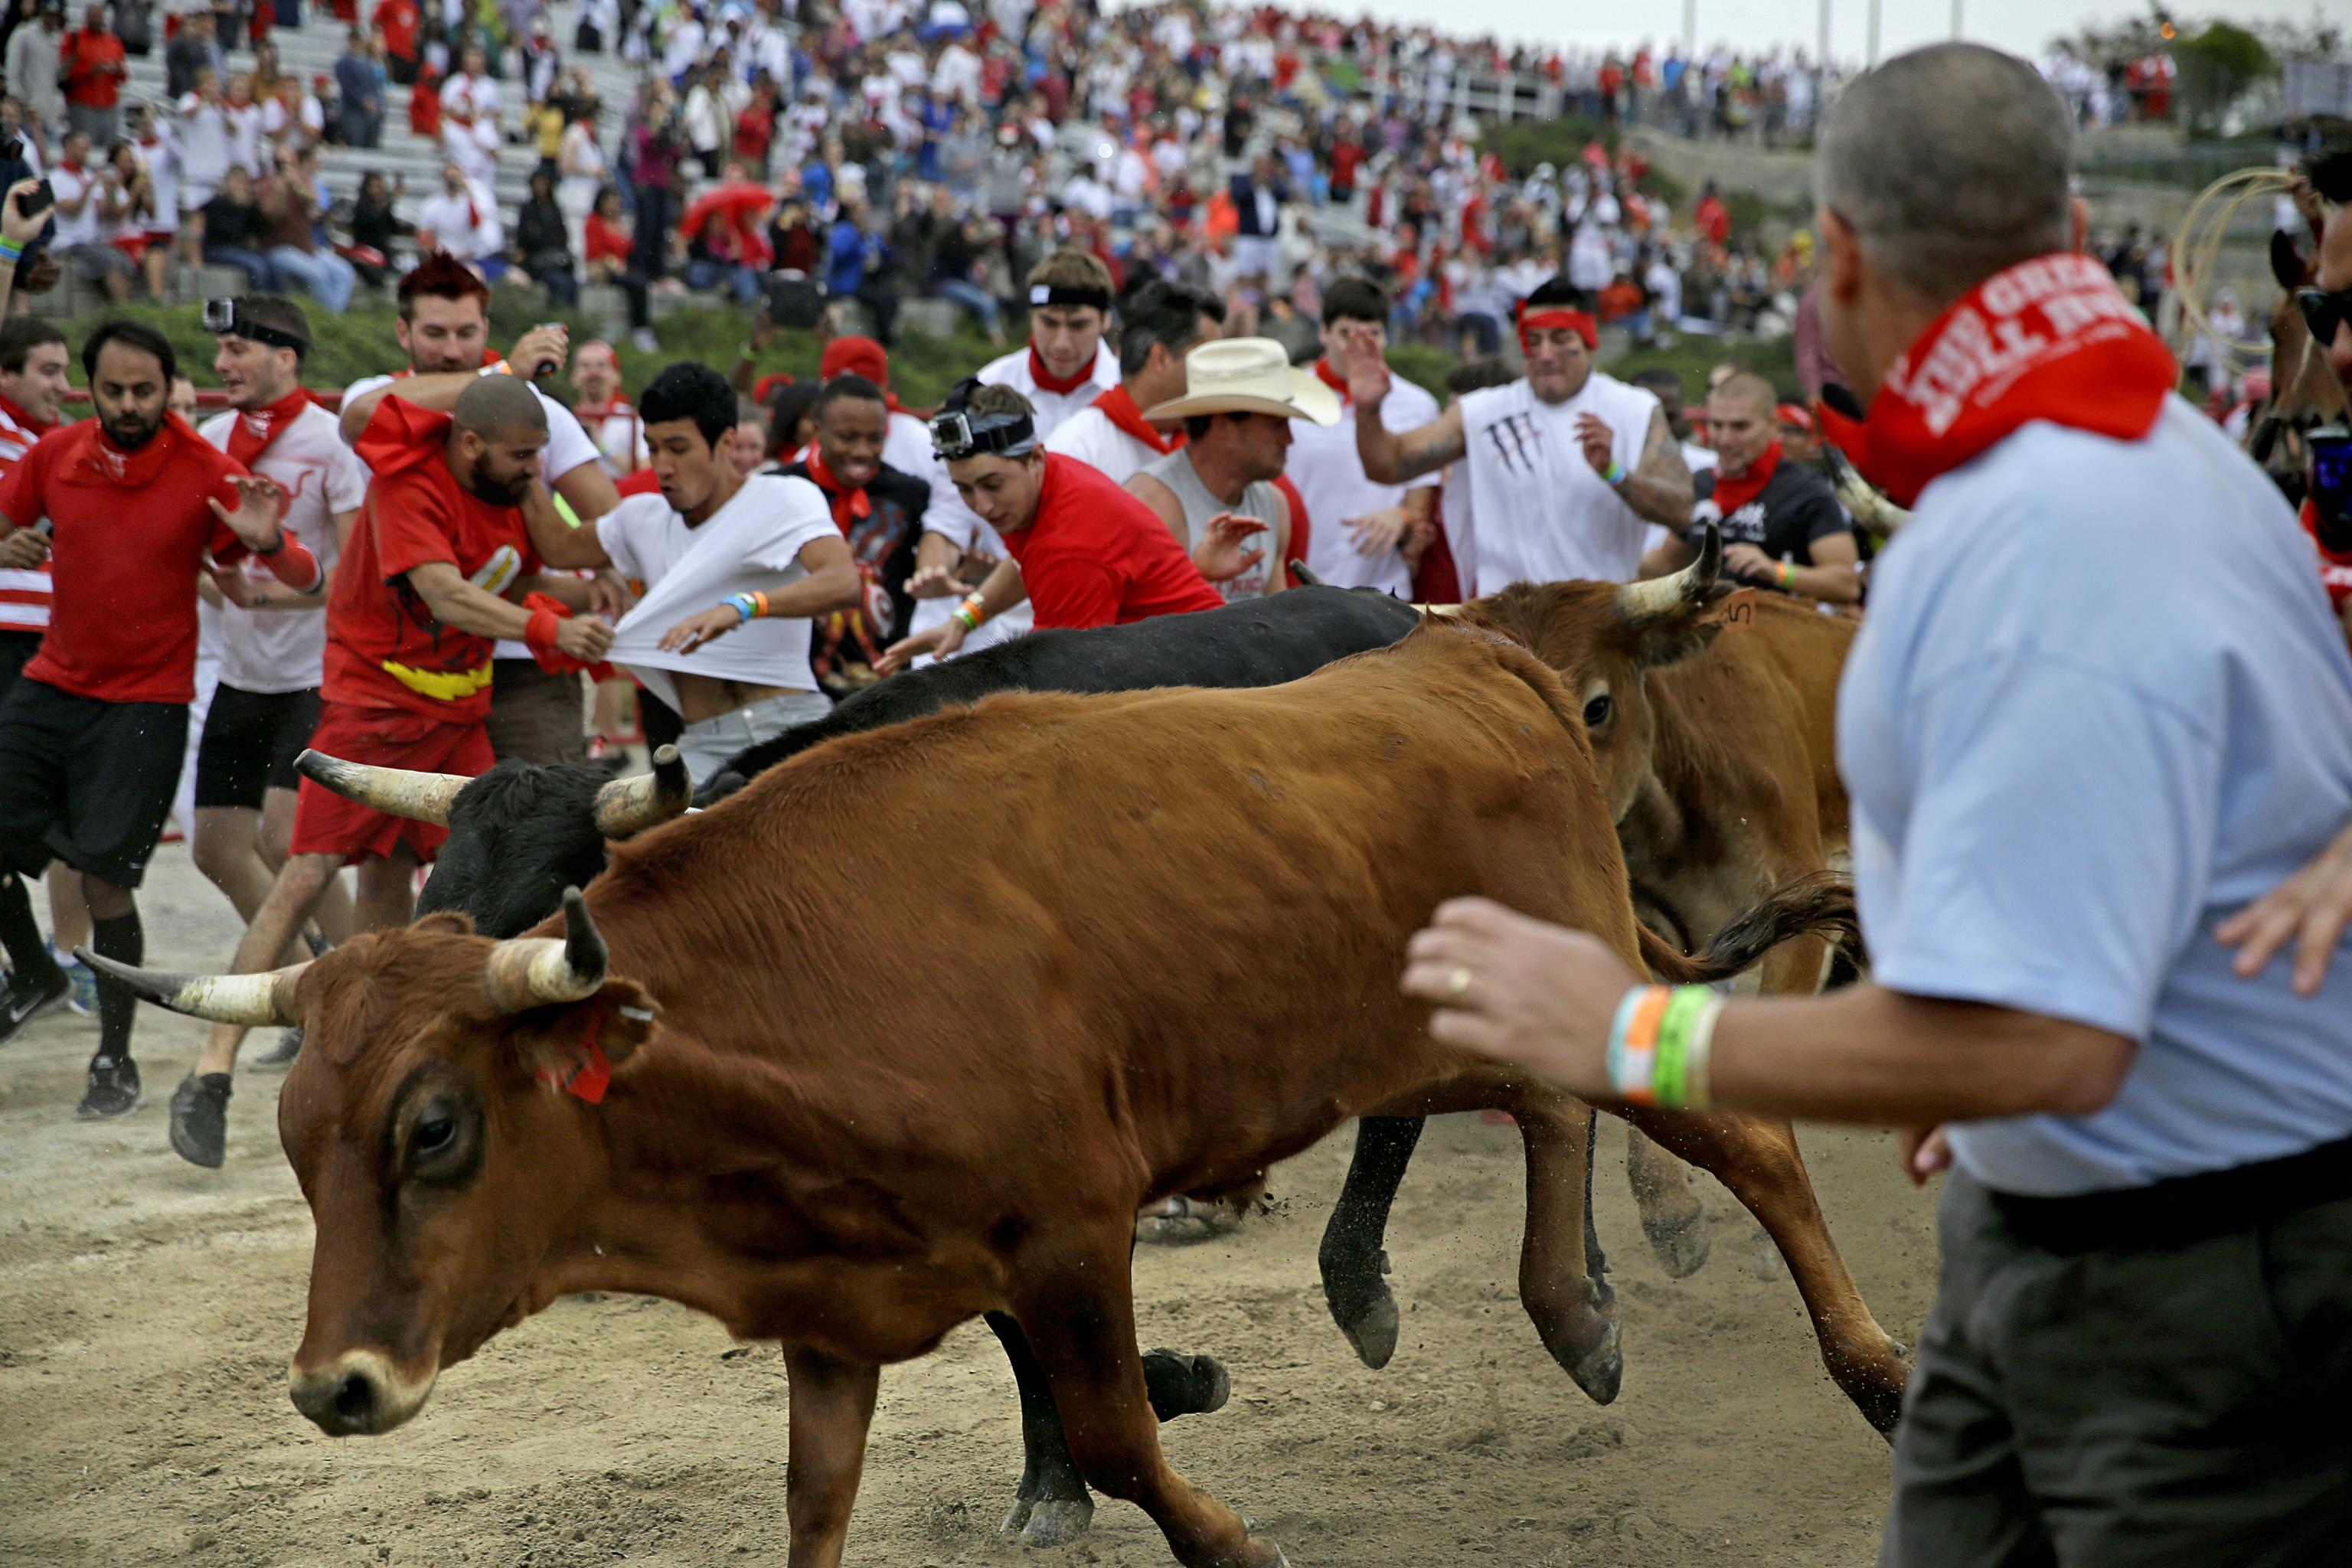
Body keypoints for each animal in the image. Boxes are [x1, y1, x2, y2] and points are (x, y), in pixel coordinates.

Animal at [96, 625, 1909, 1568]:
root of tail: (1476, 652)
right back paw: (1568, 1309)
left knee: (1737, 1133)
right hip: (1450, 1019)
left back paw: (1870, 1375)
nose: (335, 1382)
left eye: (436, 1126)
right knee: (1537, 1113)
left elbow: (1103, 1415)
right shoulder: (841, 1314)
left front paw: (1156, 1456)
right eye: (299, 1144)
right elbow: (828, 1497)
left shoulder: (1066, 1220)